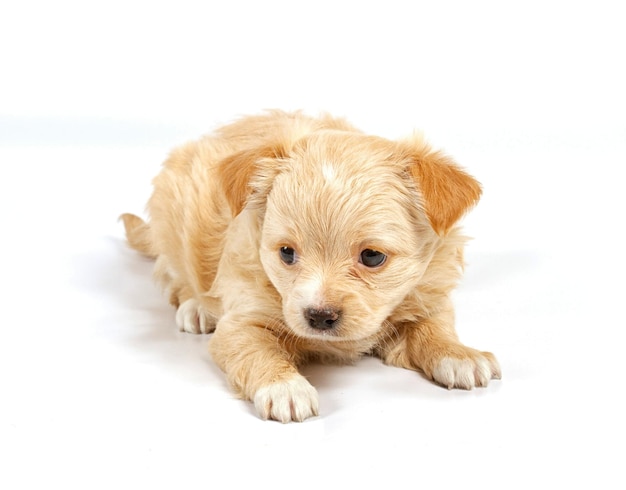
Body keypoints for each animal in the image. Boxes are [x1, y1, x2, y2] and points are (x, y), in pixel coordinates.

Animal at [122, 110, 500, 422]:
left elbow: (434, 326)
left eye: (372, 256)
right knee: (172, 271)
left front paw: (459, 354)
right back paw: (196, 307)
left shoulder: (429, 294)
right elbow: (256, 350)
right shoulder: (242, 322)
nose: (318, 317)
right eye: (287, 253)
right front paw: (284, 388)